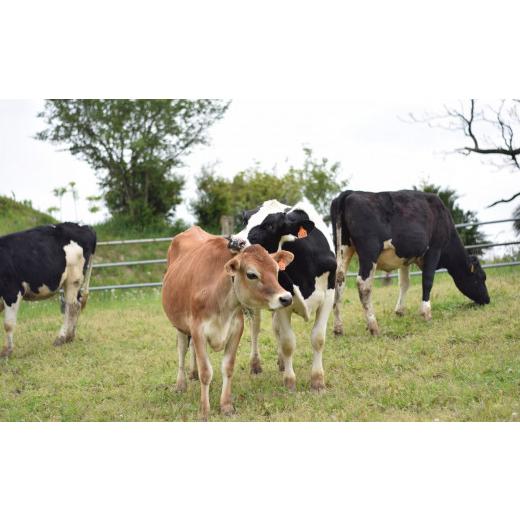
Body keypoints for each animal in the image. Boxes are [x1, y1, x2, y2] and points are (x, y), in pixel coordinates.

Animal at [0, 221, 96, 356]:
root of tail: (84, 226)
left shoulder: (12, 291)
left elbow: (8, 324)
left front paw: (6, 351)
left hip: (73, 279)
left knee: (72, 307)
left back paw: (62, 337)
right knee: (76, 304)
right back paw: (70, 336)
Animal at [162, 225, 292, 420]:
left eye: (276, 270)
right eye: (251, 274)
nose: (286, 298)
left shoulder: (236, 329)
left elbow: (228, 368)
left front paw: (226, 406)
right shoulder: (198, 330)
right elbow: (206, 372)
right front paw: (204, 410)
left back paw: (192, 373)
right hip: (180, 325)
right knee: (182, 349)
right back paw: (181, 384)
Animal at [232, 199, 338, 390]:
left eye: (270, 225)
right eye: (245, 220)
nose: (234, 242)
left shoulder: (329, 296)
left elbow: (318, 338)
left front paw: (317, 381)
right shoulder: (283, 303)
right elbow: (288, 342)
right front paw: (290, 382)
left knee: (275, 328)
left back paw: (281, 362)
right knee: (255, 329)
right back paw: (255, 365)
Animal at [332, 189, 490, 336]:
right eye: (481, 278)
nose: (487, 300)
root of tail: (350, 192)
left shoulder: (405, 258)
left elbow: (404, 283)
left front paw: (400, 311)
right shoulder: (434, 249)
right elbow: (427, 281)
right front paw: (426, 313)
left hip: (344, 249)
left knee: (339, 283)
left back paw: (338, 328)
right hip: (369, 252)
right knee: (363, 285)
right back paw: (373, 326)